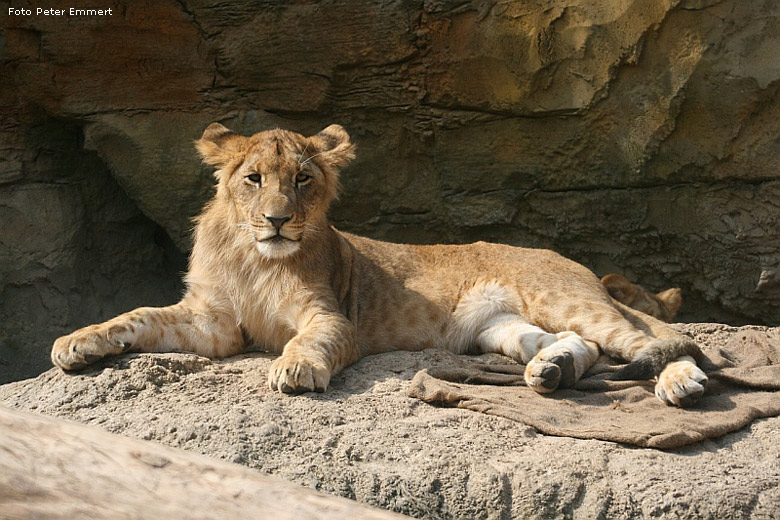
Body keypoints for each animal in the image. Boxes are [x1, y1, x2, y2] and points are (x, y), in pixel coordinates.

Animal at [48, 125, 708, 406]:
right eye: (254, 179)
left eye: (302, 180)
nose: (278, 220)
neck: (255, 258)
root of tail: (570, 259)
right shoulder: (213, 324)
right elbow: (136, 315)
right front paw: (77, 342)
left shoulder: (329, 315)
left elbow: (309, 343)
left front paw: (294, 371)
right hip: (500, 328)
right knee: (582, 345)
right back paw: (552, 371)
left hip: (565, 297)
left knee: (655, 339)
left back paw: (680, 383)